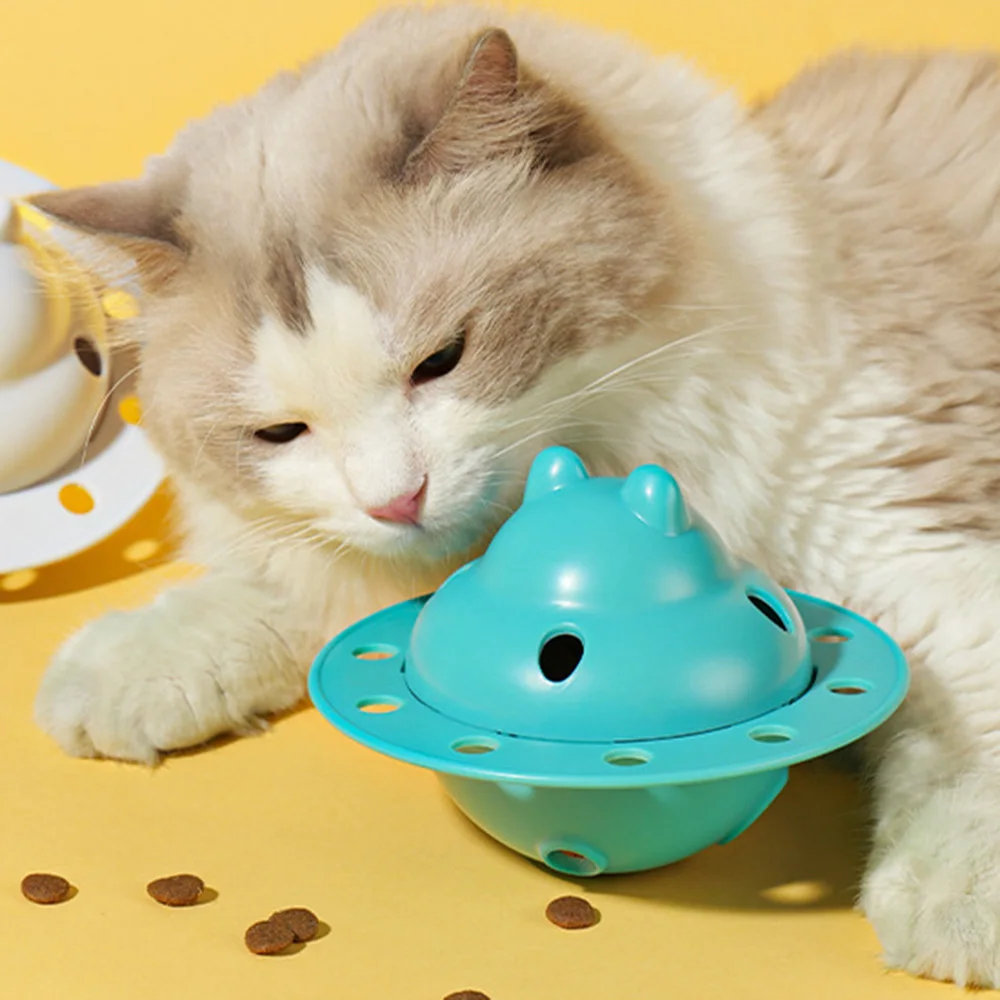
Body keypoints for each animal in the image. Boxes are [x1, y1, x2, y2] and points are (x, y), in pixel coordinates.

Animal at [25, 1, 1000, 987]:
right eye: (281, 434)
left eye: (442, 360)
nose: (396, 500)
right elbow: (288, 595)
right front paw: (123, 673)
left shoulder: (912, 547)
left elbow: (970, 734)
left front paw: (960, 904)